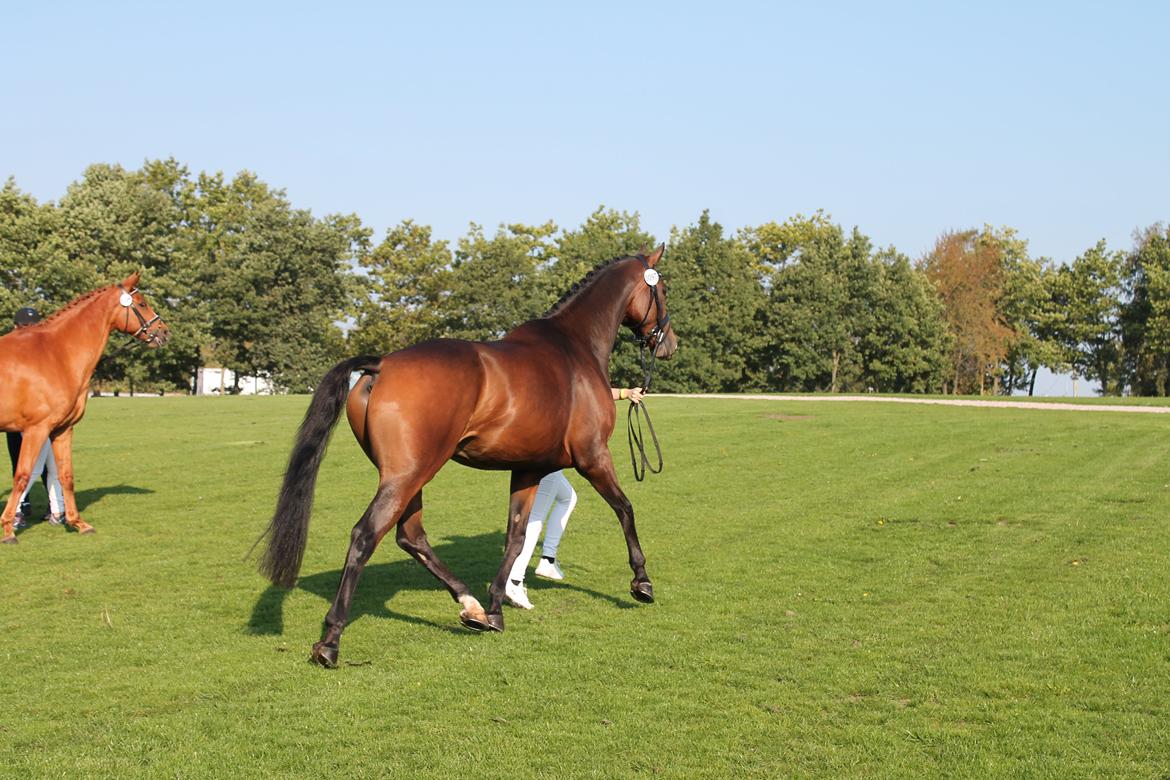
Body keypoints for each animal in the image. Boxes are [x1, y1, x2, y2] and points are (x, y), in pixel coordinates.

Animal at [0, 273, 169, 542]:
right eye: (142, 304)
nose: (164, 331)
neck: (56, 354)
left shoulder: (62, 430)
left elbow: (66, 476)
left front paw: (77, 523)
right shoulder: (35, 430)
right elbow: (22, 476)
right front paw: (7, 529)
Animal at [256, 244, 678, 664]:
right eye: (664, 290)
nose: (668, 343)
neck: (574, 347)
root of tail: (383, 363)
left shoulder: (527, 470)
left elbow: (516, 536)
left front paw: (495, 607)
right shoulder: (593, 457)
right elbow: (625, 508)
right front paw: (641, 582)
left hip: (409, 476)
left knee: (411, 536)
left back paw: (471, 606)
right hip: (408, 475)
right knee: (366, 535)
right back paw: (330, 640)